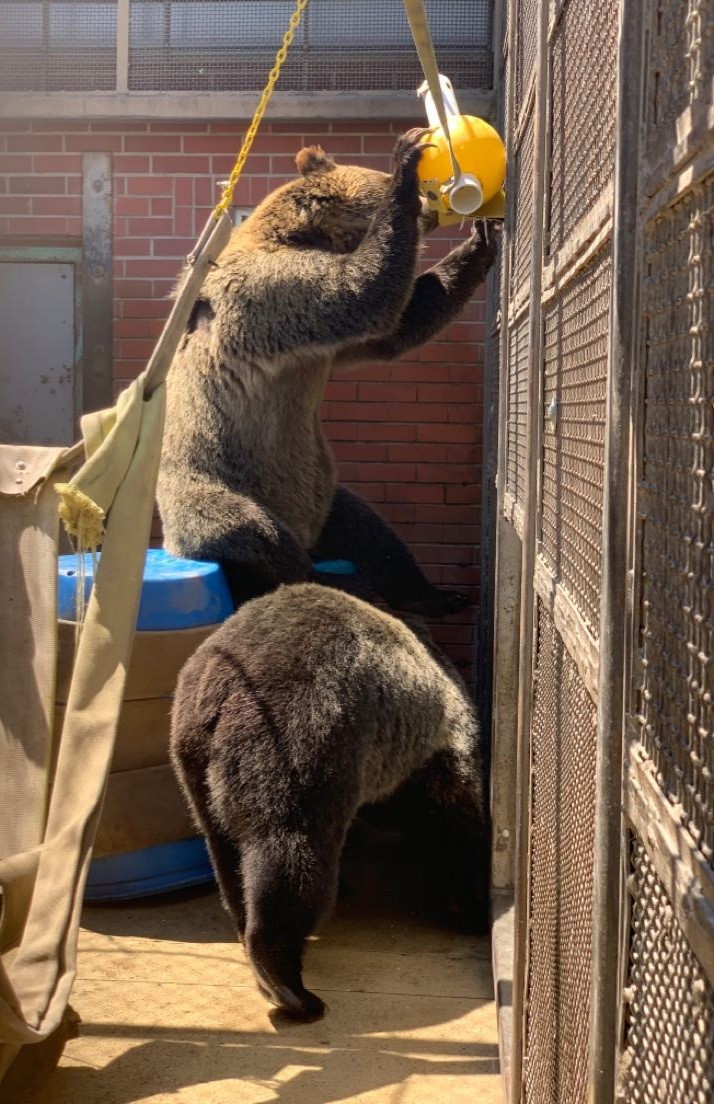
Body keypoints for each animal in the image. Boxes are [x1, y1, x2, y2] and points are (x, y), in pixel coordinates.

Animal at [157, 130, 499, 614]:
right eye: (421, 190)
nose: (433, 209)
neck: (302, 233)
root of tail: (306, 531)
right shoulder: (273, 294)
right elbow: (359, 292)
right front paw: (406, 159)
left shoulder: (323, 347)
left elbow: (398, 326)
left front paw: (481, 240)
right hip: (215, 484)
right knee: (254, 532)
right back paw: (335, 578)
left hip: (326, 495)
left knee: (371, 531)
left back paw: (436, 595)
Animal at [170, 582, 488, 1022]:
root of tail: (223, 686)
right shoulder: (427, 753)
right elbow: (451, 827)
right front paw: (470, 904)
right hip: (299, 735)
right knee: (291, 856)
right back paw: (288, 984)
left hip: (194, 759)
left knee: (225, 850)